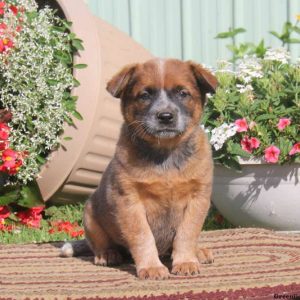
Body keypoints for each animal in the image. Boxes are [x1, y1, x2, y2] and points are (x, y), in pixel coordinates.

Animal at [62, 58, 218, 278]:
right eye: (145, 95)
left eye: (182, 93)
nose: (165, 116)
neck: (165, 155)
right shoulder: (128, 200)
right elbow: (143, 237)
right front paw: (151, 267)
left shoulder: (198, 197)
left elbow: (187, 234)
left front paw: (186, 261)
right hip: (90, 213)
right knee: (99, 243)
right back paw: (107, 254)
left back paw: (199, 251)